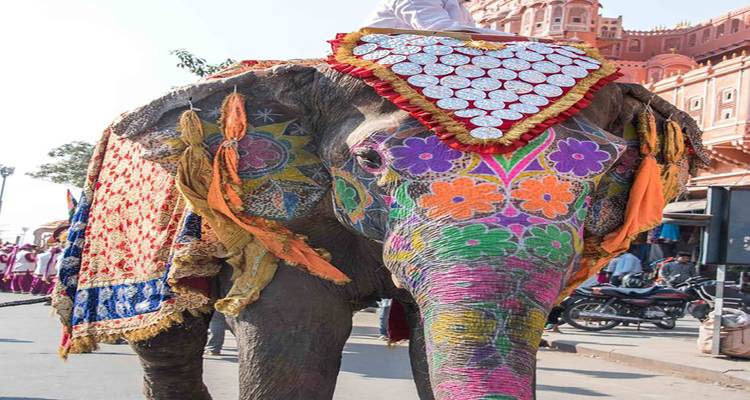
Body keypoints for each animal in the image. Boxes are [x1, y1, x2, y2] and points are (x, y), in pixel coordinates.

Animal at [56, 38, 707, 400]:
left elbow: (427, 344)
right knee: (166, 342)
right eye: (370, 160)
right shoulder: (288, 225)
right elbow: (297, 341)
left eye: (609, 163)